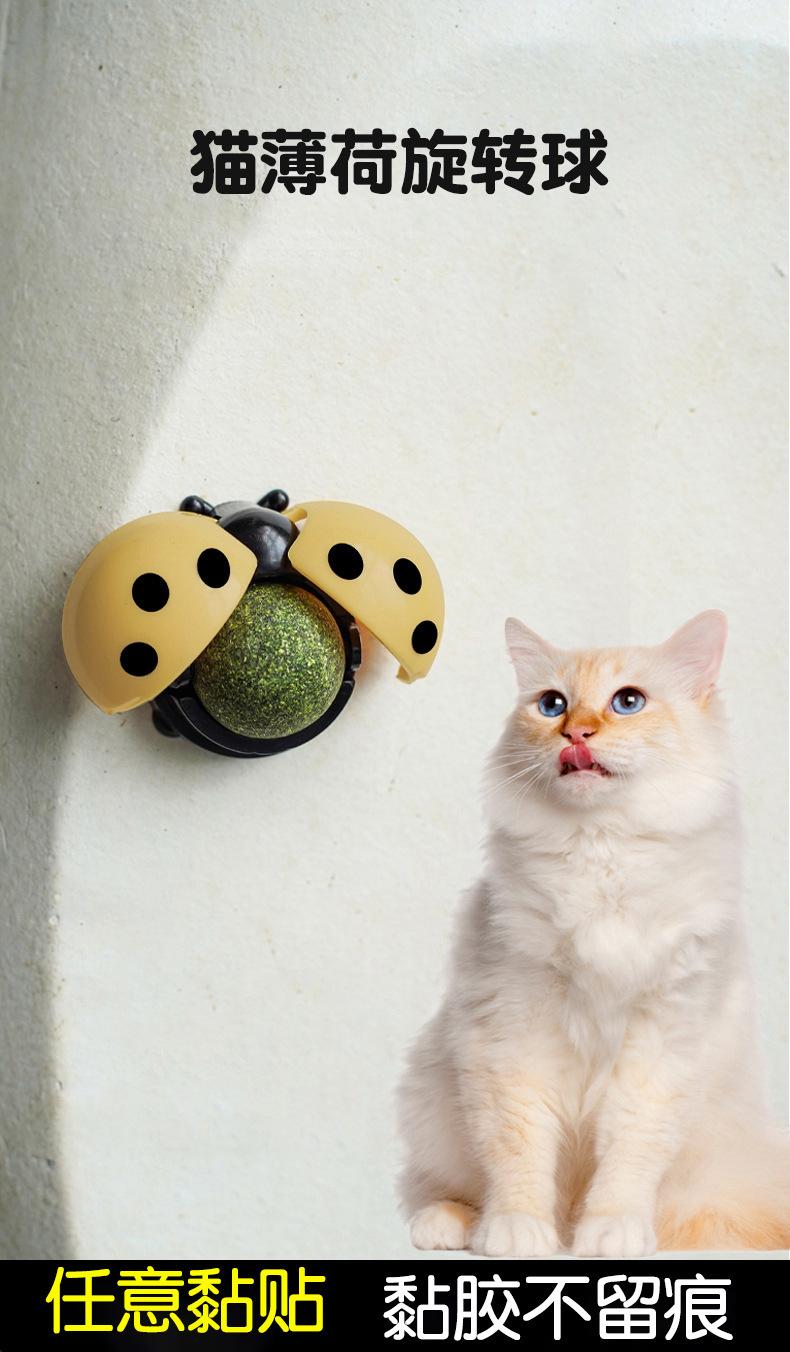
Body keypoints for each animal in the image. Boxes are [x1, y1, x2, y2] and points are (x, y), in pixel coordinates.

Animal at [398, 611, 789, 1255]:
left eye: (628, 702)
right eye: (552, 704)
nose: (575, 733)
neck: (601, 847)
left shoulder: (661, 1043)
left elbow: (629, 1154)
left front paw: (609, 1231)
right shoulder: (511, 1030)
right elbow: (519, 1150)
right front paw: (518, 1231)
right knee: (440, 1187)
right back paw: (455, 1225)